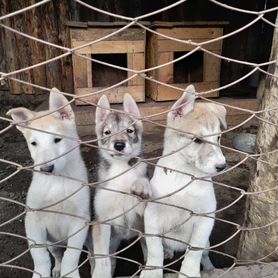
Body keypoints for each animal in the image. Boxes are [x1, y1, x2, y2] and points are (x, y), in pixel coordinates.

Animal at [7, 88, 90, 276]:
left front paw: (71, 273)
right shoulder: (33, 221)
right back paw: (57, 269)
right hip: (52, 242)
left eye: (57, 139)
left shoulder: (80, 221)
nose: (46, 169)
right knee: (57, 254)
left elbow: (71, 256)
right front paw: (42, 273)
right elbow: (41, 257)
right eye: (33, 143)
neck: (57, 182)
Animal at [92, 94, 151, 278]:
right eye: (107, 132)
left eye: (129, 131)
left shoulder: (143, 213)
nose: (119, 145)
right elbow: (102, 256)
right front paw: (100, 272)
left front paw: (141, 185)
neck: (121, 170)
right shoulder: (101, 220)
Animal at [140, 85, 227, 278]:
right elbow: (154, 249)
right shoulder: (152, 217)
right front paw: (152, 271)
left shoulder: (205, 218)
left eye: (218, 138)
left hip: (207, 244)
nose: (222, 166)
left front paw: (190, 272)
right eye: (197, 140)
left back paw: (210, 268)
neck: (184, 176)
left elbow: (194, 252)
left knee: (204, 254)